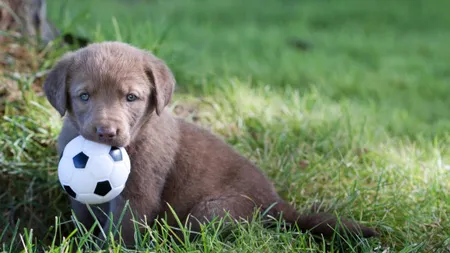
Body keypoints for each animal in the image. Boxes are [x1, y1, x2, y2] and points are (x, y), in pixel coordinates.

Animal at [44, 41, 378, 245]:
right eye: (84, 96)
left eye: (131, 97)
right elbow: (85, 220)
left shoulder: (138, 195)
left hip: (211, 211)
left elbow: (122, 232)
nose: (106, 132)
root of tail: (277, 203)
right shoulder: (80, 197)